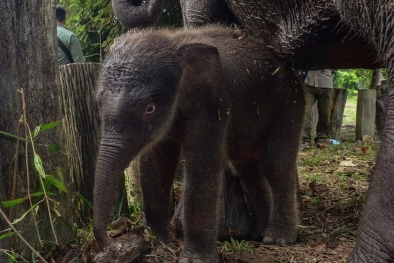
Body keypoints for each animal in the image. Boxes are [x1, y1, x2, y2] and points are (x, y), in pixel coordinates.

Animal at [93, 25, 304, 263]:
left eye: (149, 108)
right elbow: (156, 163)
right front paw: (156, 239)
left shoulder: (213, 103)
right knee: (247, 169)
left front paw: (194, 259)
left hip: (289, 104)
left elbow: (202, 165)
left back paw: (277, 238)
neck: (175, 42)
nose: (111, 241)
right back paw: (259, 234)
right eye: (97, 103)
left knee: (275, 165)